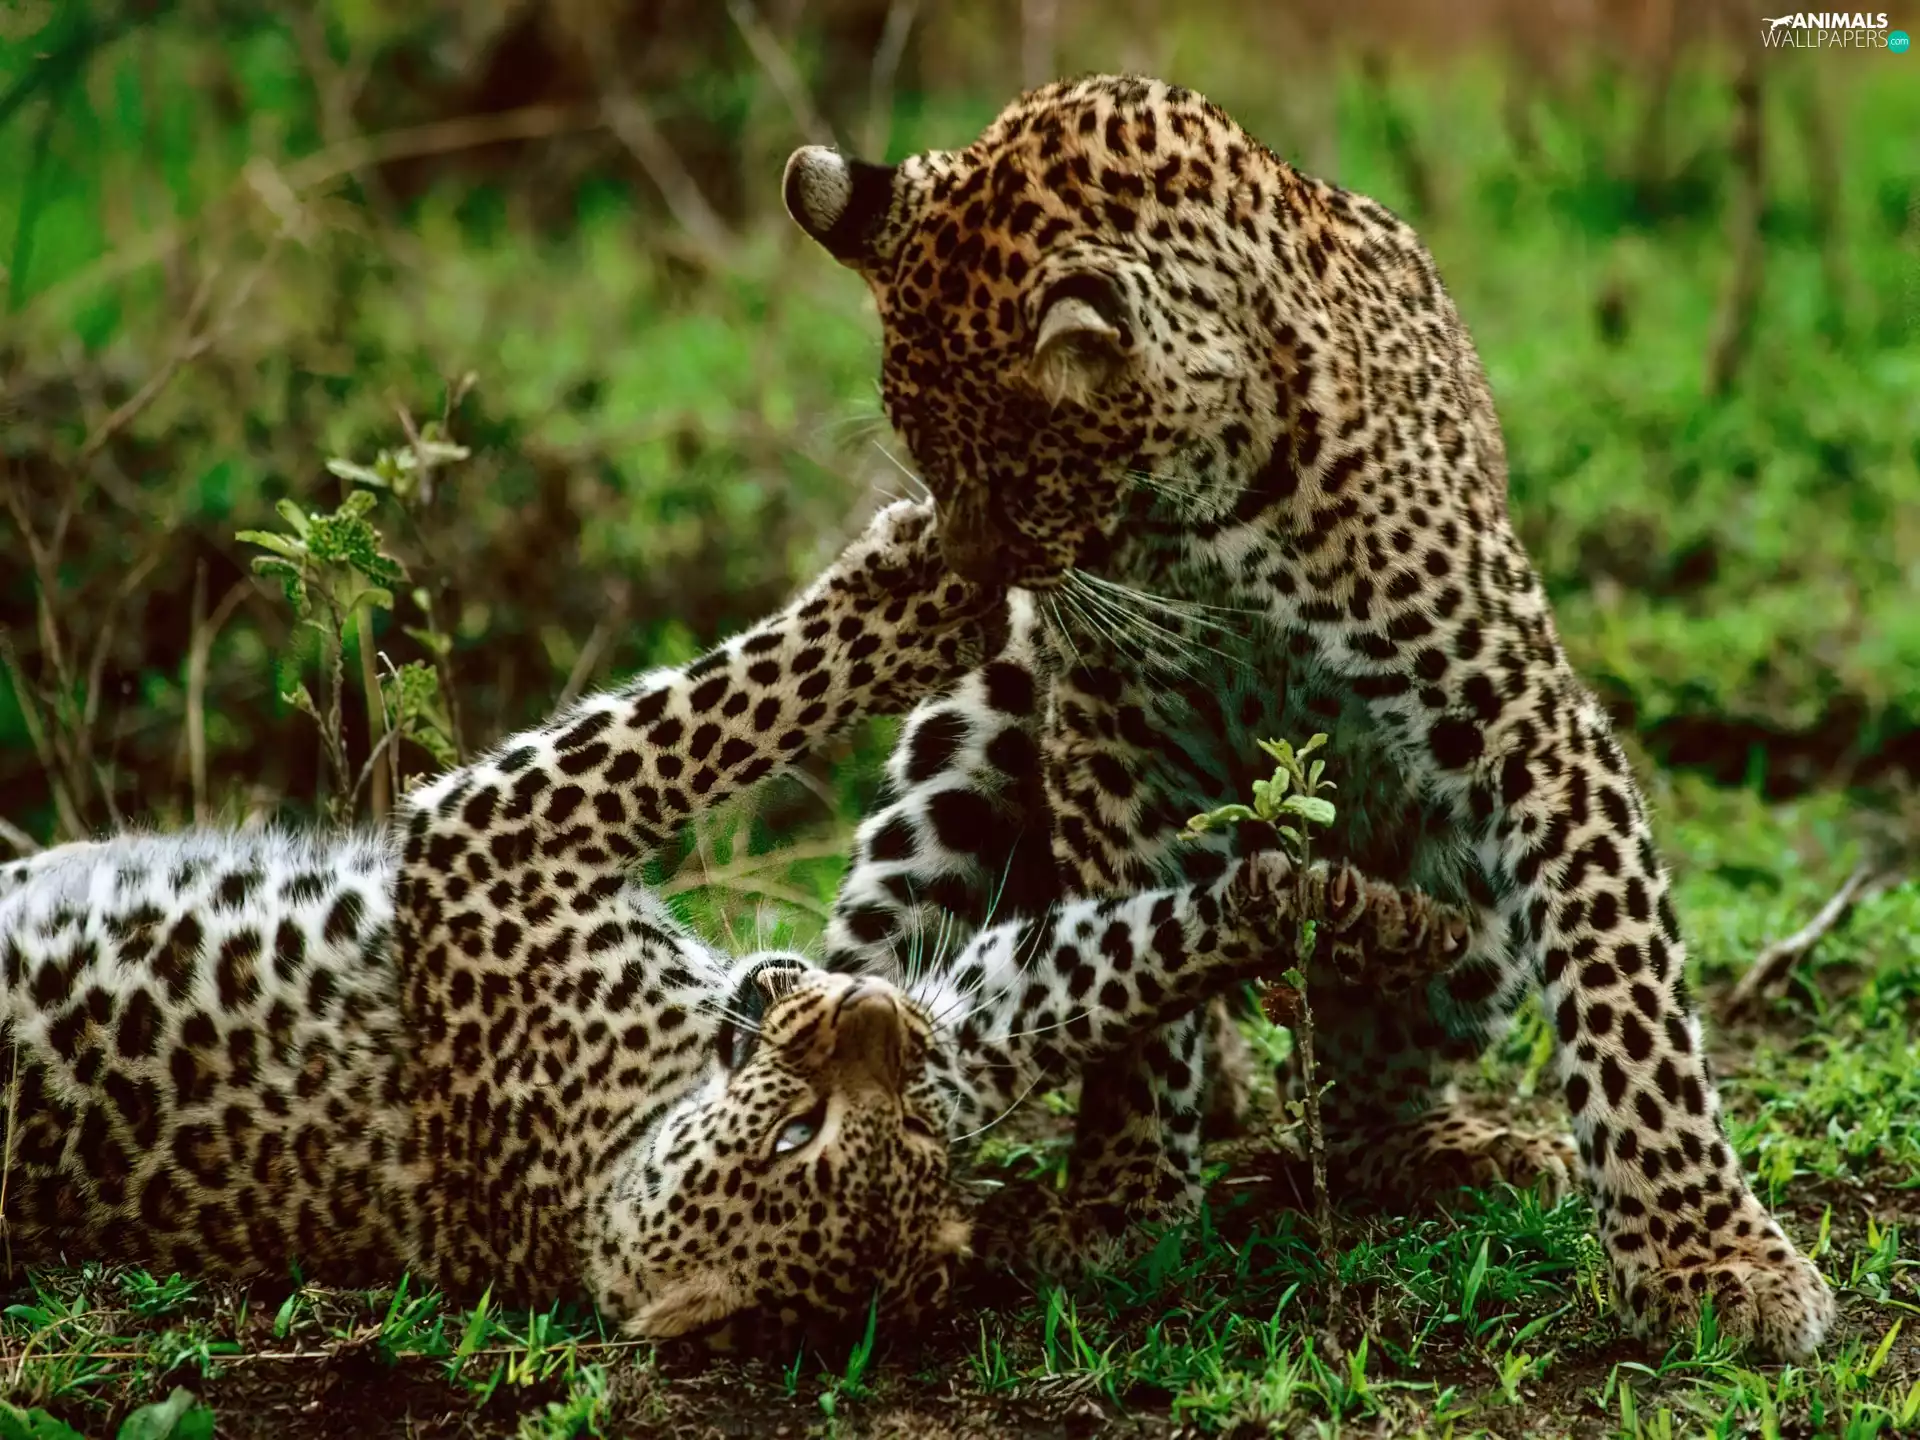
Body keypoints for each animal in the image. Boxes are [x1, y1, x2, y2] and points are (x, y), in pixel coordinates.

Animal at [1, 498, 1466, 1344]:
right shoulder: (501, 839)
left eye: (886, 1130)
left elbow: (1110, 964)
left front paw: (1354, 915)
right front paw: (918, 581)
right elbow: (718, 711)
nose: (863, 1010)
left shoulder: (962, 1033)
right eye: (796, 1135)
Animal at [780, 74, 1836, 1359]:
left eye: (1016, 473)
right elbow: (1133, 995)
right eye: (926, 459)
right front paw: (1121, 1203)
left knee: (1358, 1096)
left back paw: (1457, 1150)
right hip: (968, 746)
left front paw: (1707, 1253)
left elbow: (1626, 996)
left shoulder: (1527, 722)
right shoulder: (1109, 743)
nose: (974, 579)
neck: (1206, 505)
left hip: (1460, 906)